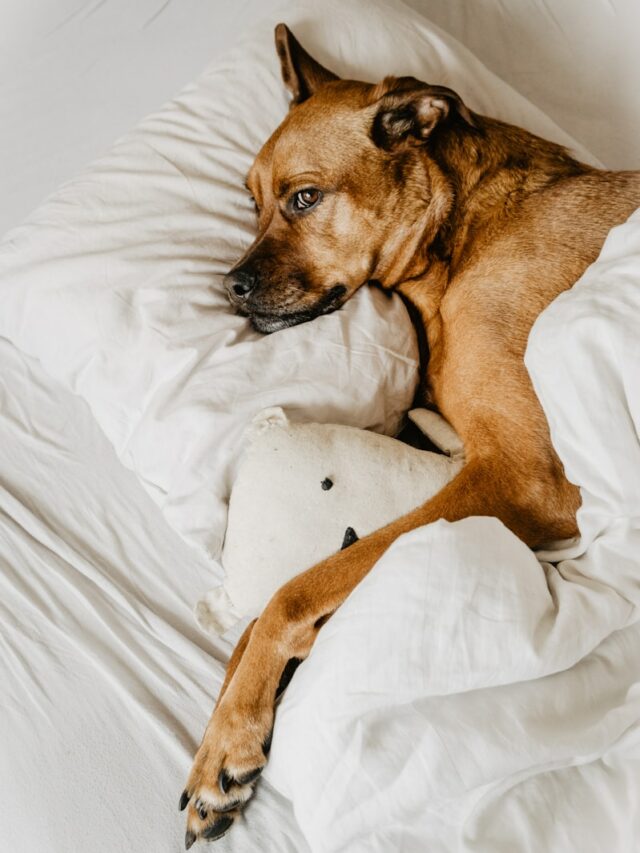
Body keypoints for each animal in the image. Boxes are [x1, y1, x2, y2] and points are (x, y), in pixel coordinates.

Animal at [180, 23, 640, 844]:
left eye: (304, 197)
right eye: (253, 202)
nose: (229, 287)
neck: (466, 230)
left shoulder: (523, 477)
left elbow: (294, 591)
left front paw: (226, 740)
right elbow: (278, 605)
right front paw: (234, 728)